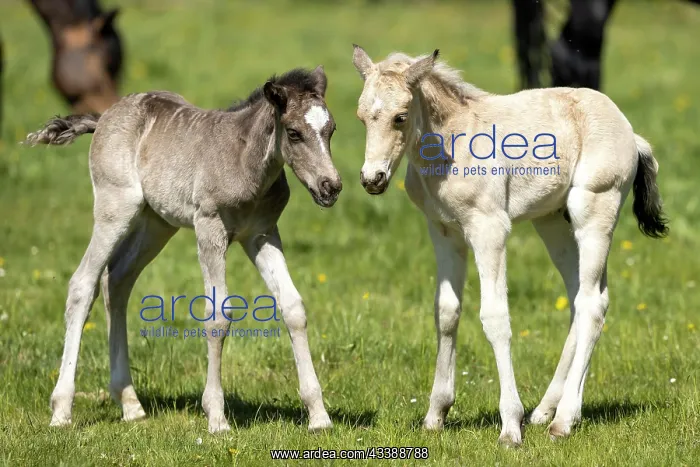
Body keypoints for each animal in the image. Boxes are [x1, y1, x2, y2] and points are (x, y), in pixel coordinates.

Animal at [23, 66, 341, 434]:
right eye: (293, 133)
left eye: (331, 130)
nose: (331, 187)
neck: (244, 162)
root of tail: (104, 117)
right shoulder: (209, 229)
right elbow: (218, 316)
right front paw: (216, 417)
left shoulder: (262, 234)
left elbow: (293, 307)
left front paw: (318, 415)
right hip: (115, 208)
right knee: (83, 283)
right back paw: (62, 410)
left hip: (158, 223)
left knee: (116, 280)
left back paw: (130, 403)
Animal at [351, 45, 667, 446]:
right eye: (361, 116)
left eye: (400, 117)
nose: (372, 179)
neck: (451, 143)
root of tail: (630, 131)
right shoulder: (443, 231)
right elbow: (447, 312)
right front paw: (436, 415)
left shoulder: (489, 229)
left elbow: (495, 317)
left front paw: (510, 426)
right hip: (552, 223)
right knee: (582, 299)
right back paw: (545, 410)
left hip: (595, 211)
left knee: (592, 305)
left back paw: (563, 420)